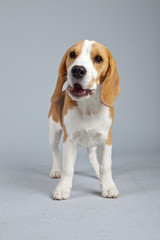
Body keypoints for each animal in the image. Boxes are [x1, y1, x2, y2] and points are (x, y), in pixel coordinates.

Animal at [48, 39, 120, 201]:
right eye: (72, 54)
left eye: (98, 58)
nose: (77, 70)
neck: (88, 107)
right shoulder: (69, 140)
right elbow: (68, 167)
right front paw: (62, 188)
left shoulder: (106, 139)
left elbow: (106, 166)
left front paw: (108, 186)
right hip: (53, 132)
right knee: (55, 151)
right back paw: (55, 170)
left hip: (94, 140)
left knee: (92, 156)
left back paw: (98, 173)